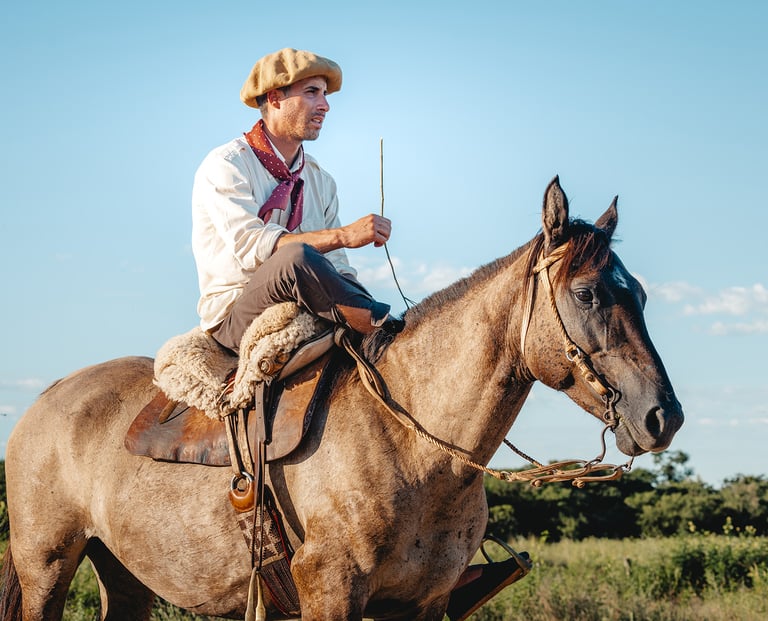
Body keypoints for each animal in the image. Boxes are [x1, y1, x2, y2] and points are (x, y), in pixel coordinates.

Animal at [0, 177, 683, 620]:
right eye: (589, 293)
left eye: (643, 295)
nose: (663, 417)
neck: (413, 445)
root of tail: (46, 398)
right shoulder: (329, 592)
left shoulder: (422, 603)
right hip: (46, 567)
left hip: (123, 573)